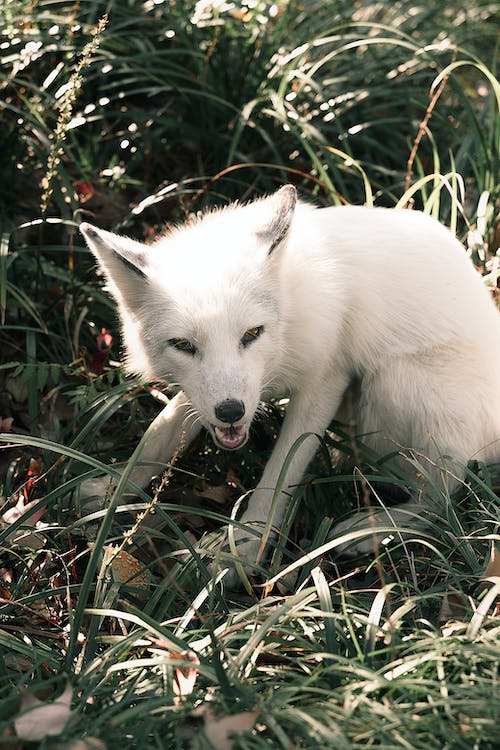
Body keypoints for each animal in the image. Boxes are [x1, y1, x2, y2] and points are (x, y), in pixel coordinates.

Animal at [80, 188, 500, 580]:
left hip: (394, 384)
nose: (230, 411)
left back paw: (374, 529)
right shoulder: (209, 394)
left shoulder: (326, 379)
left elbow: (280, 473)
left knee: (442, 501)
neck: (289, 313)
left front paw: (241, 549)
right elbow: (159, 433)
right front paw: (111, 491)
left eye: (252, 334)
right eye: (183, 345)